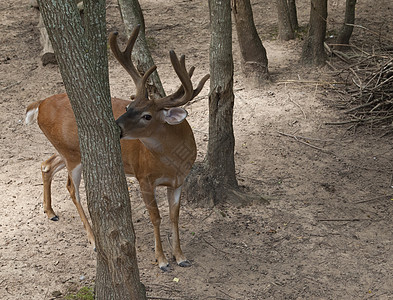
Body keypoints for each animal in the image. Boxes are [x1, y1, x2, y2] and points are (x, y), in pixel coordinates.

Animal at [26, 25, 210, 270]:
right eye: (129, 106)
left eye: (146, 115)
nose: (116, 125)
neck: (172, 162)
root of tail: (40, 104)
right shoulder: (144, 177)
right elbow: (156, 217)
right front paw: (161, 260)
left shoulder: (179, 180)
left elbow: (174, 216)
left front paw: (180, 256)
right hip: (74, 156)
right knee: (72, 188)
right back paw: (94, 241)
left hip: (66, 148)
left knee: (46, 164)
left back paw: (50, 212)